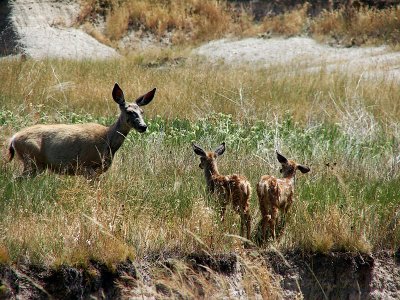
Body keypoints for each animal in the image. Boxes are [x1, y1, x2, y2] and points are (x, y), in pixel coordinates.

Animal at [6, 82, 156, 178]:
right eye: (129, 111)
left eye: (142, 111)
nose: (143, 127)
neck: (107, 140)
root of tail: (13, 138)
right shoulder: (87, 167)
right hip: (31, 160)